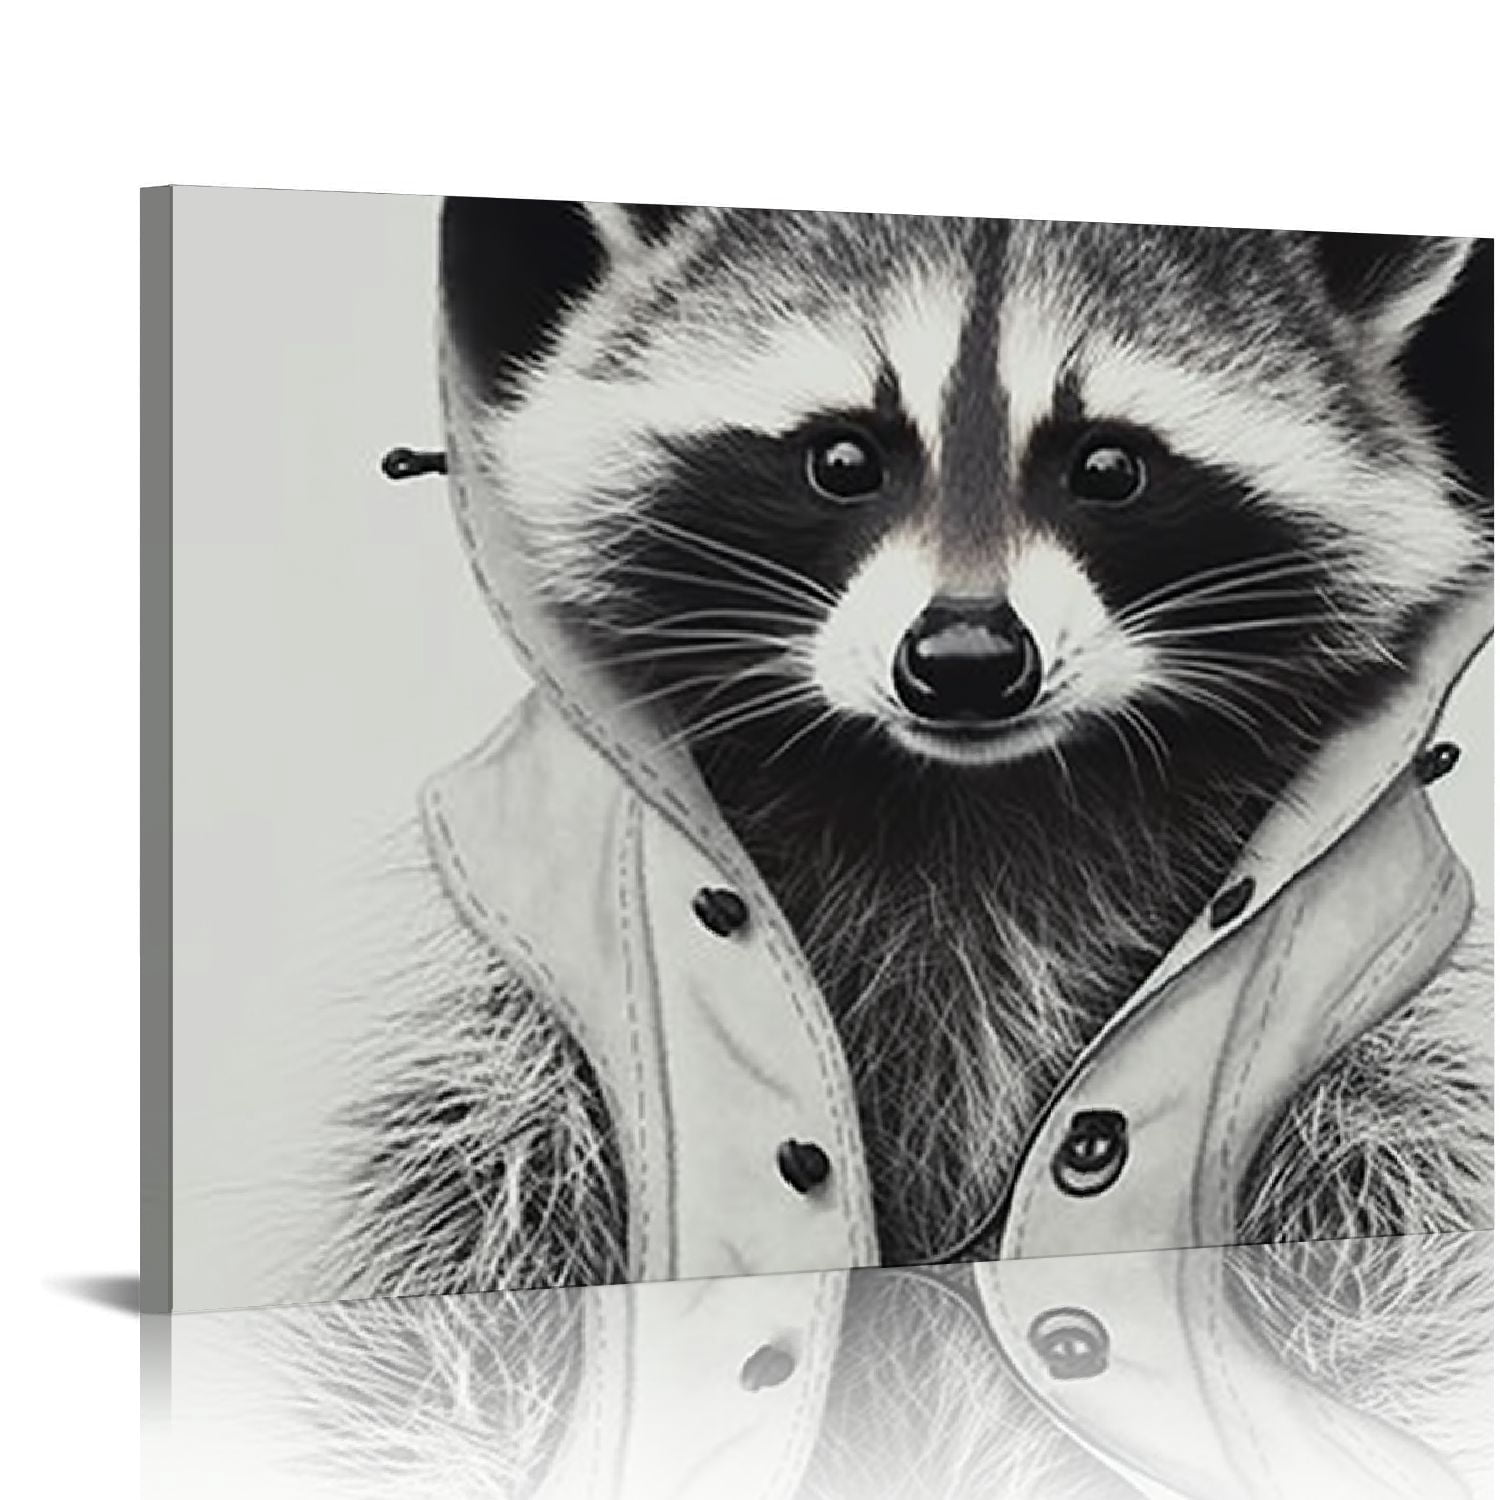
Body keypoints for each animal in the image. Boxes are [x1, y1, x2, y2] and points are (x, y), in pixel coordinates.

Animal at [335, 209, 1492, 1296]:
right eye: (843, 458)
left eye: (1109, 466)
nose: (967, 660)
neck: (966, 794)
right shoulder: (514, 1038)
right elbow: (468, 1183)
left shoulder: (1378, 1061)